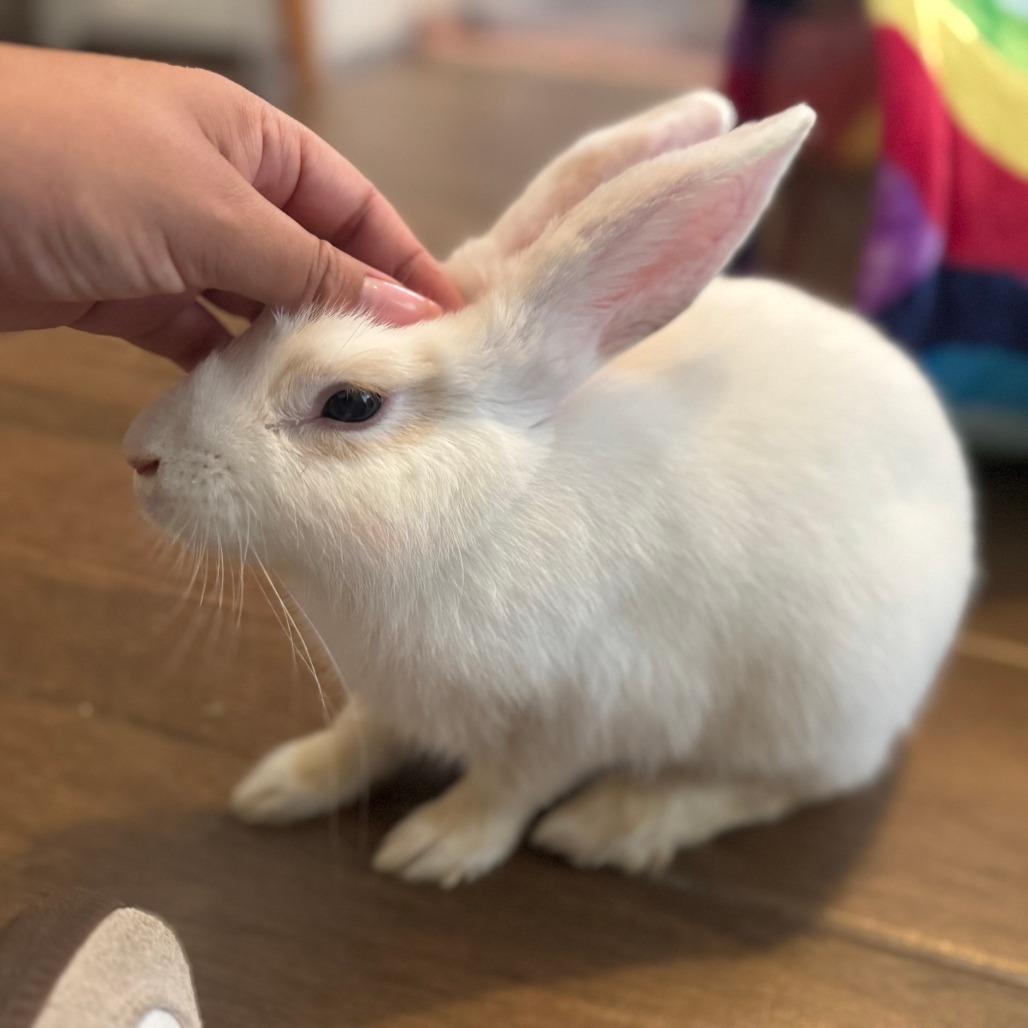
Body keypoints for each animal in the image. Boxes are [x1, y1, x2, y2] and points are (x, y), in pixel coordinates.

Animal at [123, 90, 974, 887]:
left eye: (352, 404)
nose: (142, 456)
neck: (494, 506)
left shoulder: (584, 712)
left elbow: (510, 787)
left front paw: (435, 847)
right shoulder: (392, 698)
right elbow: (362, 738)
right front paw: (281, 785)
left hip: (818, 703)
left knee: (778, 787)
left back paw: (609, 825)